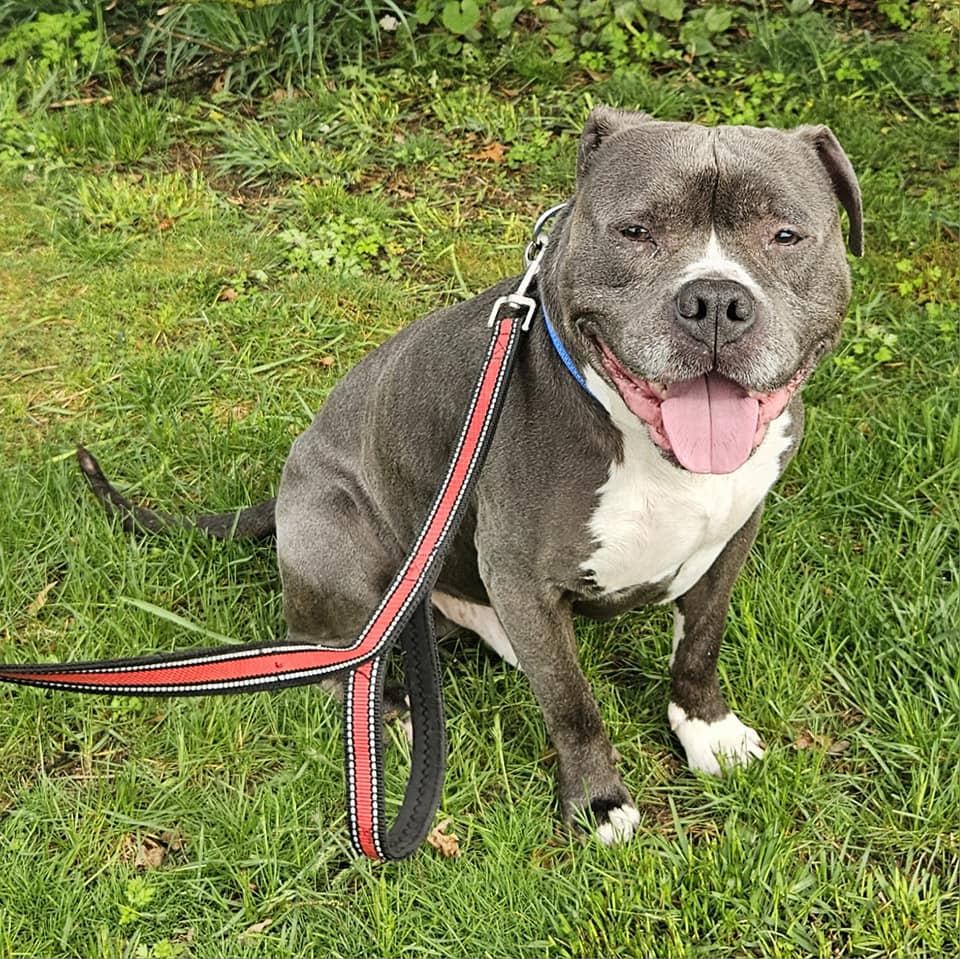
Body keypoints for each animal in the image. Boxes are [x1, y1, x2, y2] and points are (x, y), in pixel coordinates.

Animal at [80, 109, 864, 848]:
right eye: (636, 230)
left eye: (786, 235)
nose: (715, 302)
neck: (652, 451)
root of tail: (279, 492)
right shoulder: (520, 574)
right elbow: (572, 702)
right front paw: (598, 801)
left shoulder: (732, 537)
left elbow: (700, 642)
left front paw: (707, 731)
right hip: (339, 544)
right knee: (327, 657)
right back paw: (393, 711)